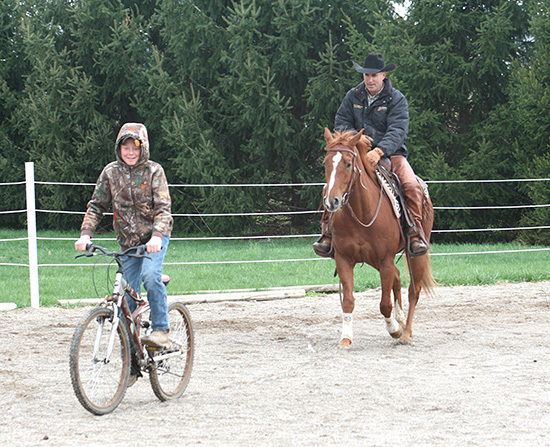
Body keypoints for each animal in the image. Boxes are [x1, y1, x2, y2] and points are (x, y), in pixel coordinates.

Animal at [324, 128, 436, 348]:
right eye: (326, 162)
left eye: (348, 164)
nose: (332, 201)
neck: (361, 214)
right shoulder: (344, 259)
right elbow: (348, 300)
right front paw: (345, 338)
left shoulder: (385, 260)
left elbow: (384, 304)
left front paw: (394, 330)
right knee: (397, 277)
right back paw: (401, 320)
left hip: (415, 254)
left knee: (414, 290)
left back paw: (406, 332)